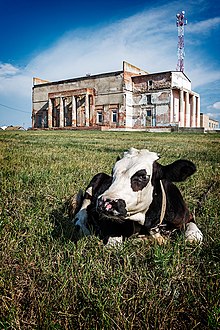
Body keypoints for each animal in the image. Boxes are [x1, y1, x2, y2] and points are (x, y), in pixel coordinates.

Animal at [70, 148, 203, 245]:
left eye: (142, 176)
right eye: (113, 173)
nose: (105, 202)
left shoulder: (187, 216)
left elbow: (194, 237)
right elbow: (113, 244)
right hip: (96, 179)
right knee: (83, 209)